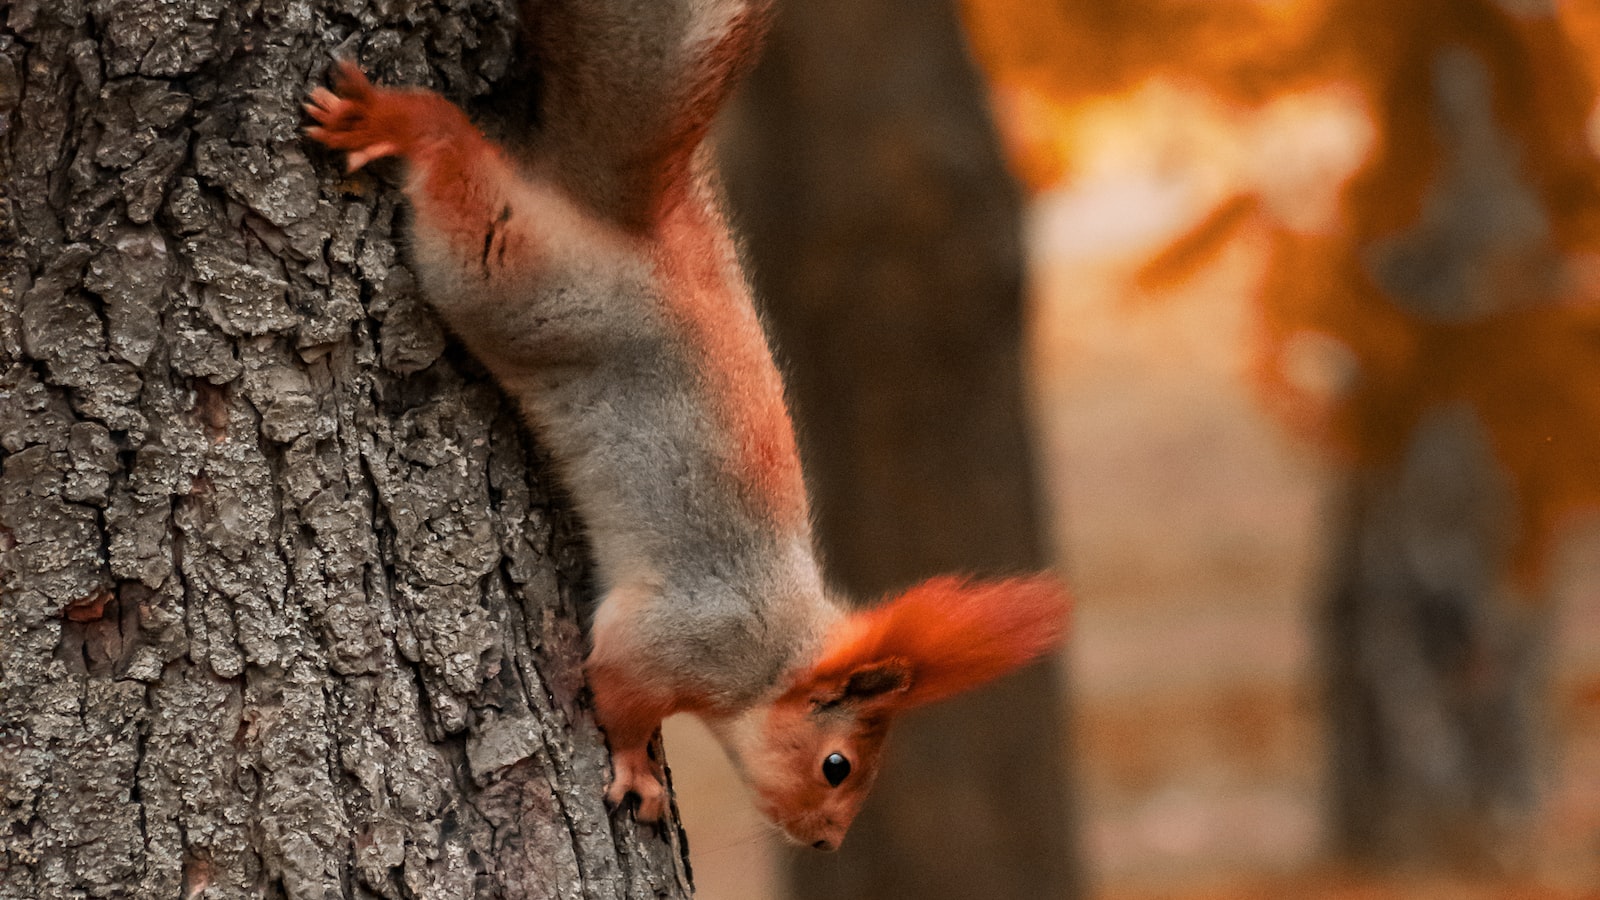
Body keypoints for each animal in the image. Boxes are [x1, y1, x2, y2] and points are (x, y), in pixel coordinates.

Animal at [305, 0, 1068, 845]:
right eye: (837, 766)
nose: (826, 841)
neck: (775, 654)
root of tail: (627, 233)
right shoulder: (675, 640)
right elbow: (619, 692)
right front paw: (638, 772)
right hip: (508, 280)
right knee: (454, 166)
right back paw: (400, 121)